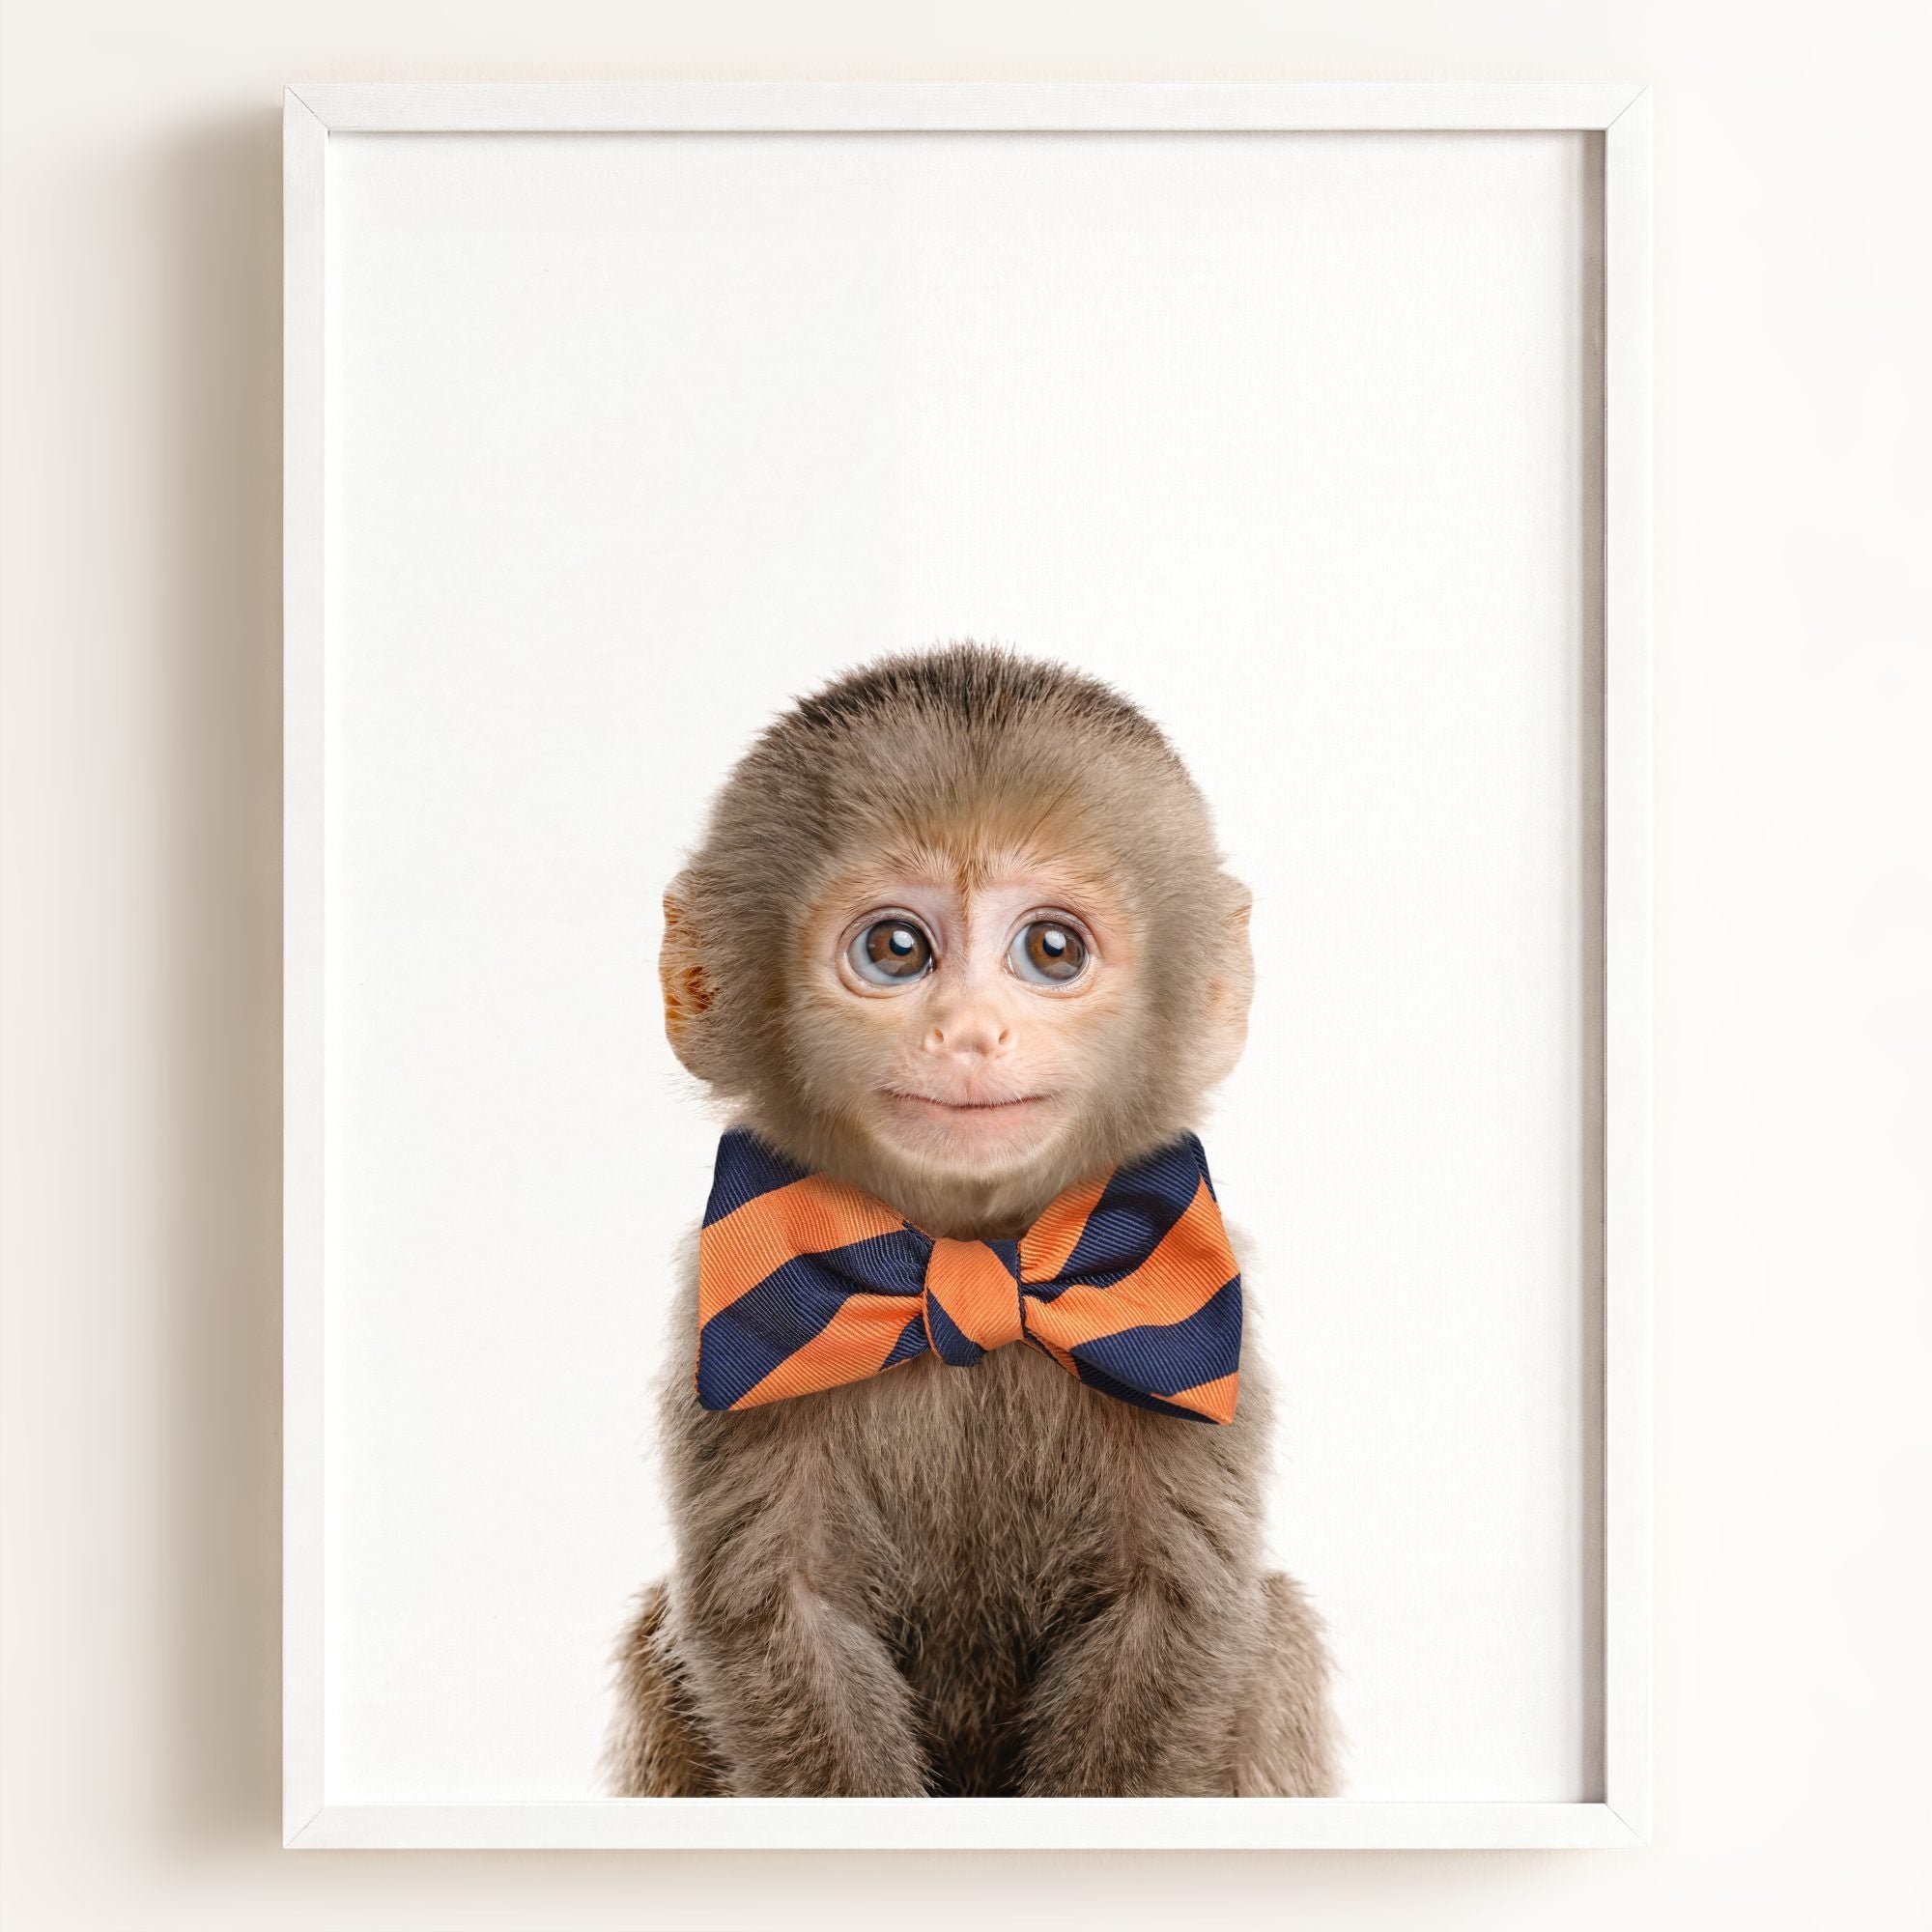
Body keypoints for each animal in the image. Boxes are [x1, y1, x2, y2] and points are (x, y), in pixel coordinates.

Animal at [602, 643, 1338, 1798]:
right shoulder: (723, 1319)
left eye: (1052, 950)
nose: (970, 1032)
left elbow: (1174, 1610)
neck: (964, 1248)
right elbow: (778, 1612)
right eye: (897, 948)